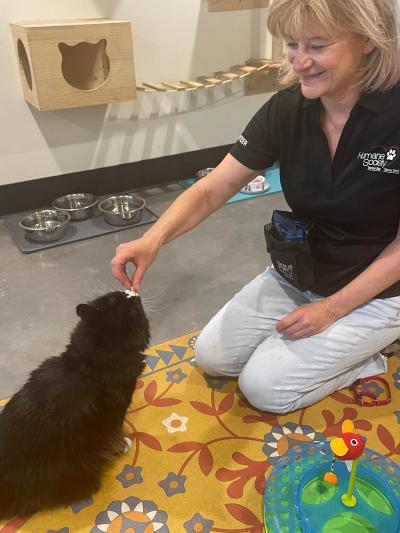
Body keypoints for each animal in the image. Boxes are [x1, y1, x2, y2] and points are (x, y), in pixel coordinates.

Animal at [0, 288, 149, 516]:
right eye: (118, 299)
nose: (132, 292)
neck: (90, 360)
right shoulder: (116, 410)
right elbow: (115, 433)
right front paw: (122, 445)